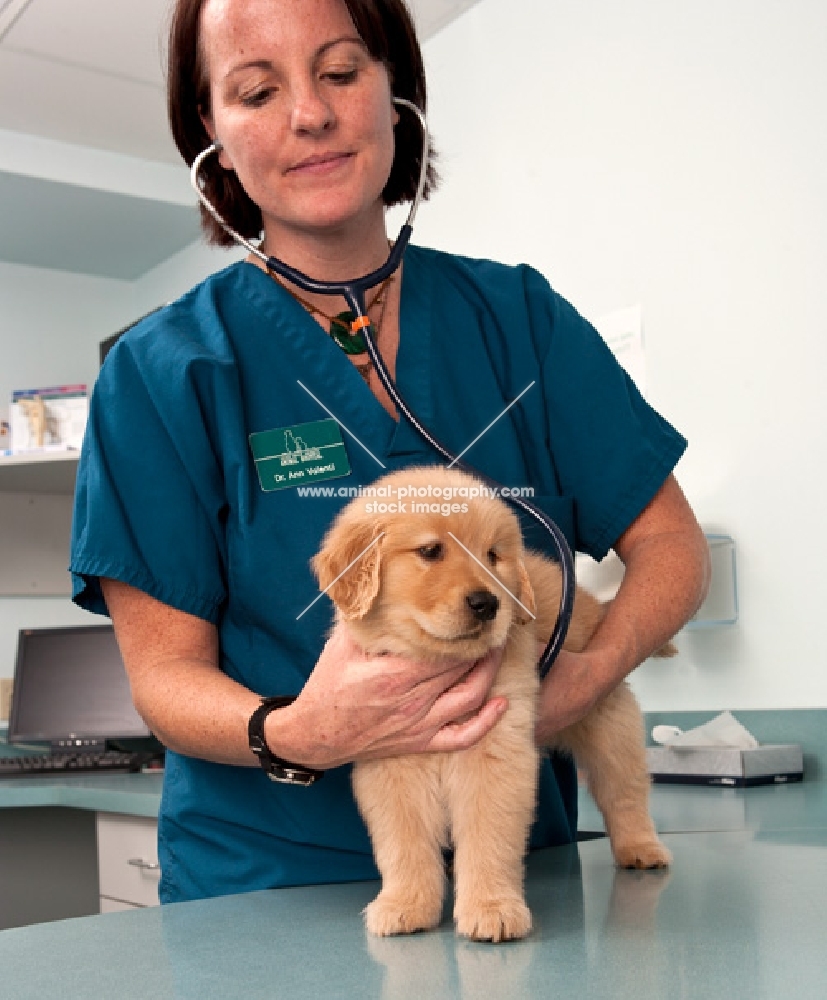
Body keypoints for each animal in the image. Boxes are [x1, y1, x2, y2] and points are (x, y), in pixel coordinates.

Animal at [312, 464, 672, 940]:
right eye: (431, 550)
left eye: (493, 555)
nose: (487, 603)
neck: (440, 663)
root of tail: (594, 607)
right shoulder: (389, 762)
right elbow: (402, 844)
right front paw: (405, 903)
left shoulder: (495, 753)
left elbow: (489, 839)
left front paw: (492, 907)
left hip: (611, 727)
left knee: (625, 793)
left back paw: (641, 848)